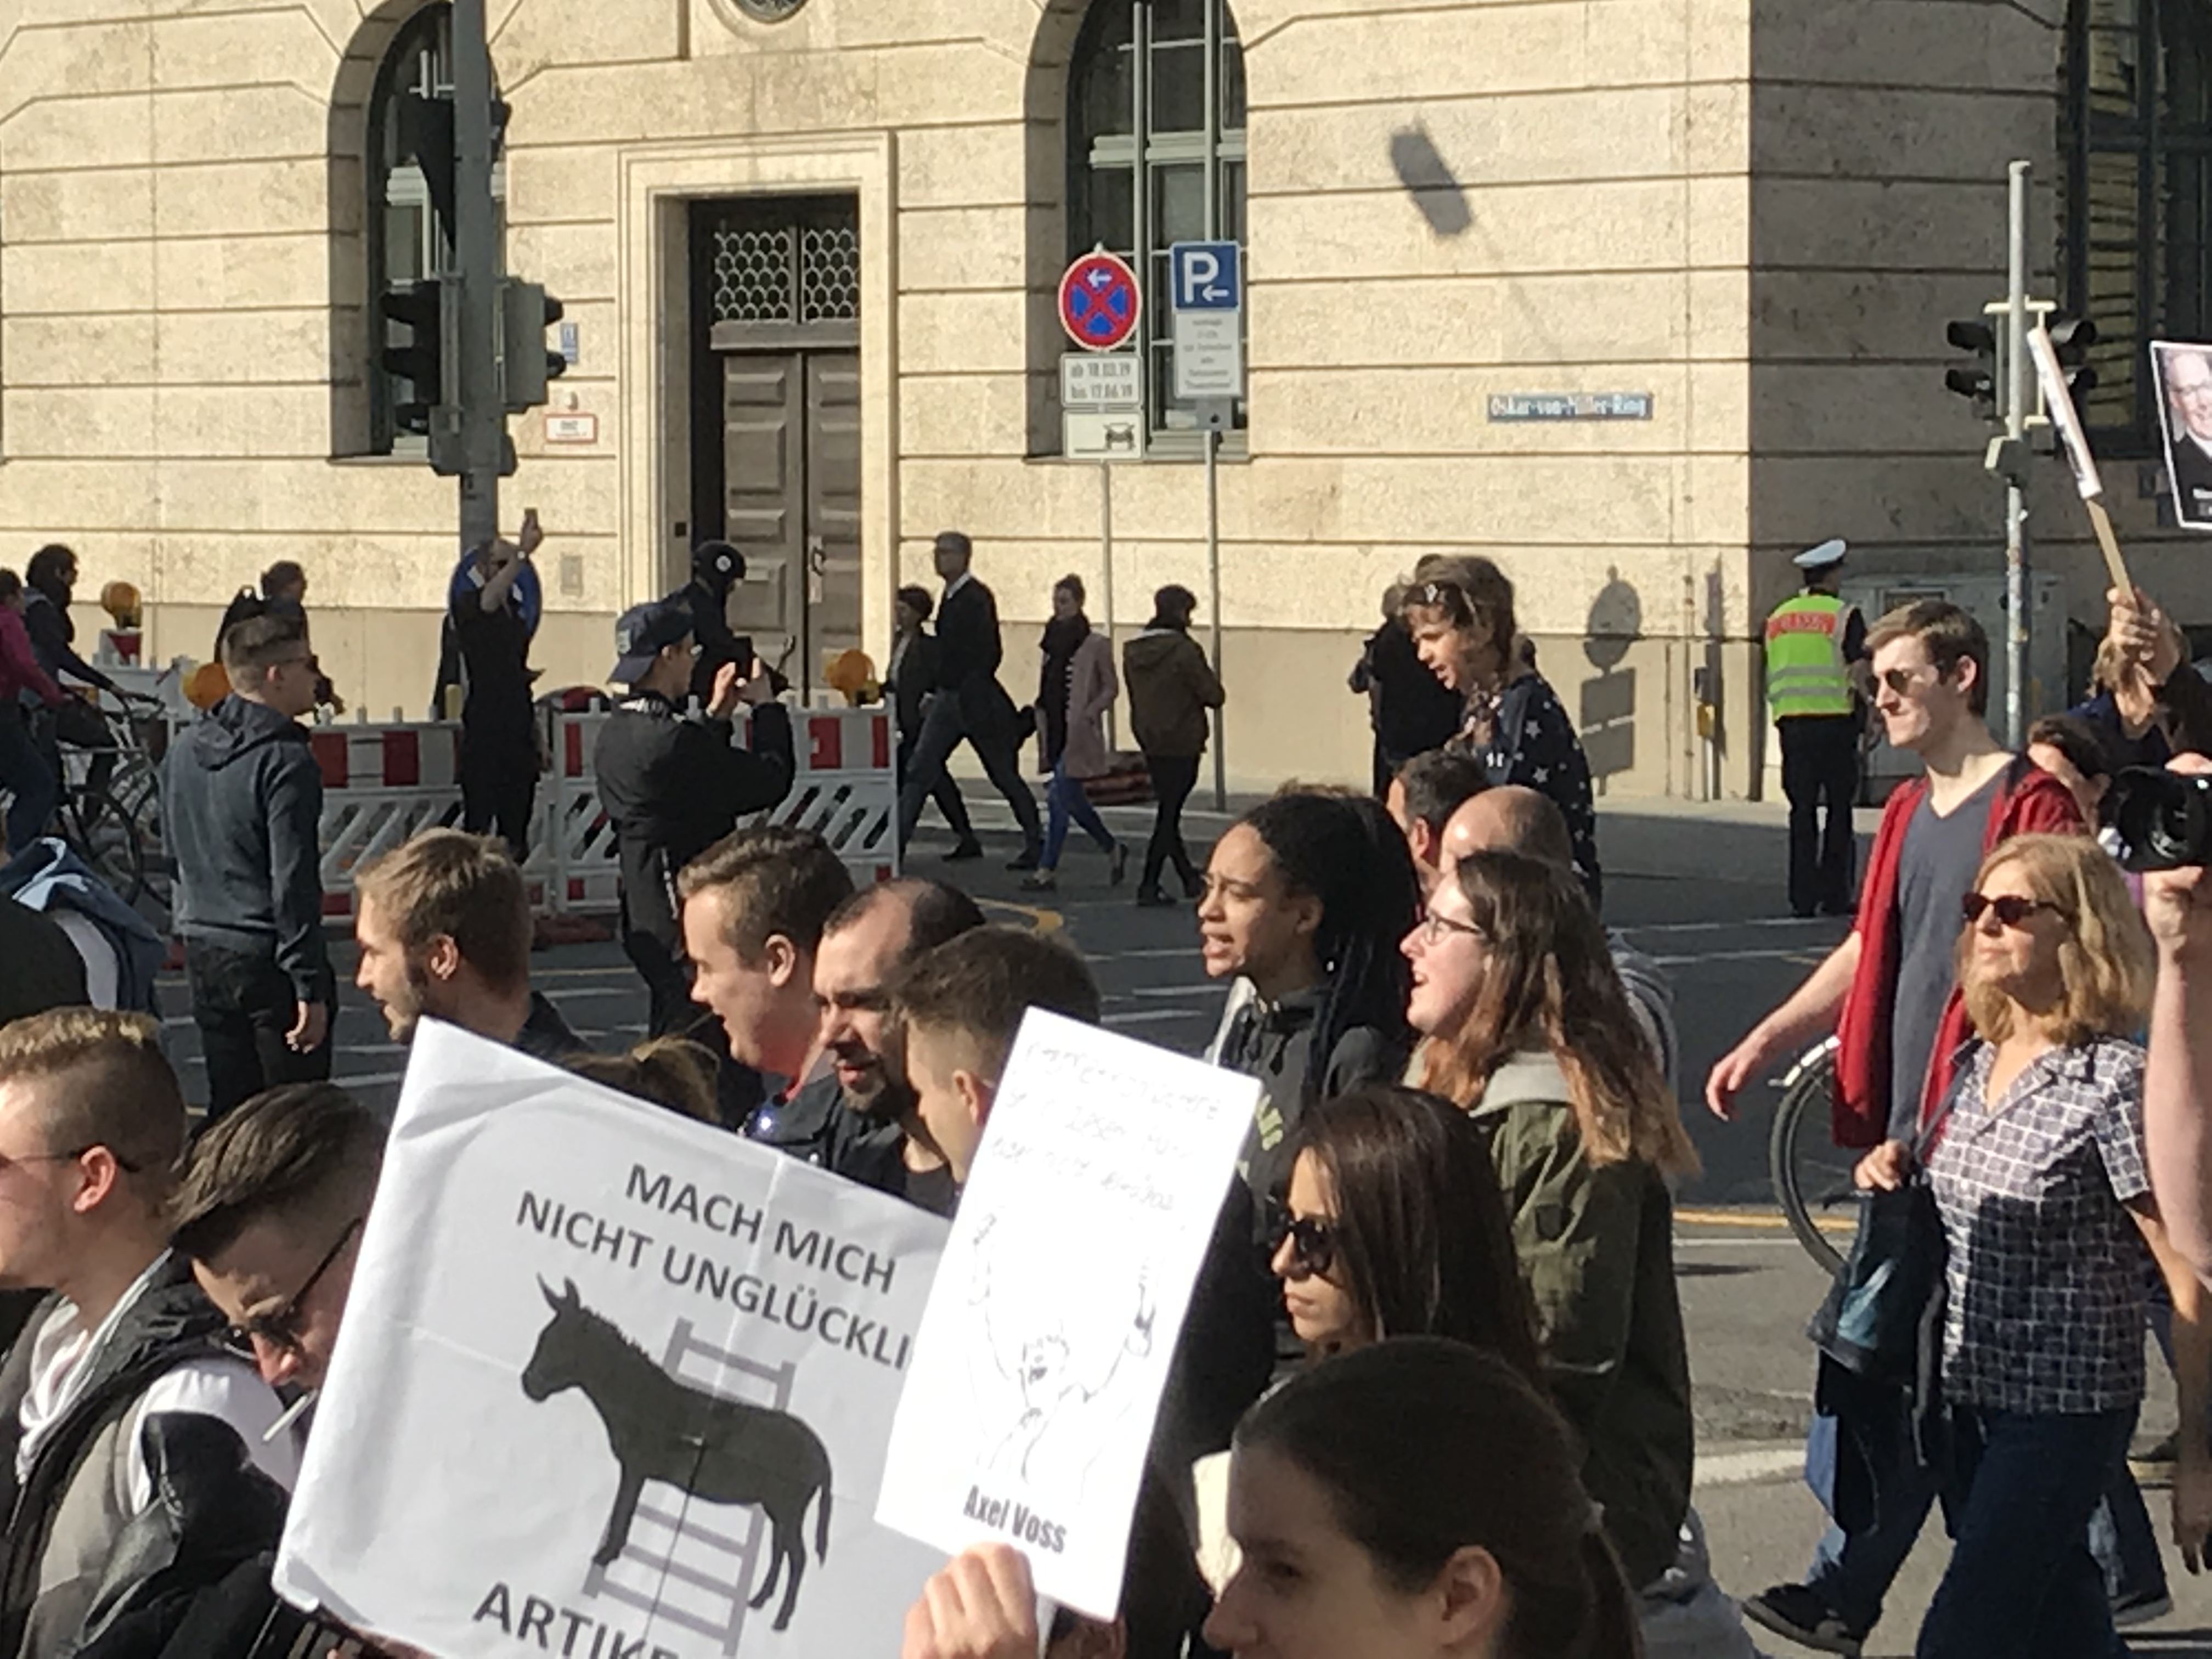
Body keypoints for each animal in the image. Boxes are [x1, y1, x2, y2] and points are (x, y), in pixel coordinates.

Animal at [520, 1277, 834, 1632]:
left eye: (556, 1344)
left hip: (788, 1509)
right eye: (543, 1338)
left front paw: (606, 1556)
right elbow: (624, 1509)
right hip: (777, 1508)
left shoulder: (635, 1468)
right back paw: (759, 1601)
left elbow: (623, 1510)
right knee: (780, 1549)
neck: (639, 1401)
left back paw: (781, 1619)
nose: (527, 1385)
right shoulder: (636, 1469)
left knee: (799, 1558)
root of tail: (820, 1450)